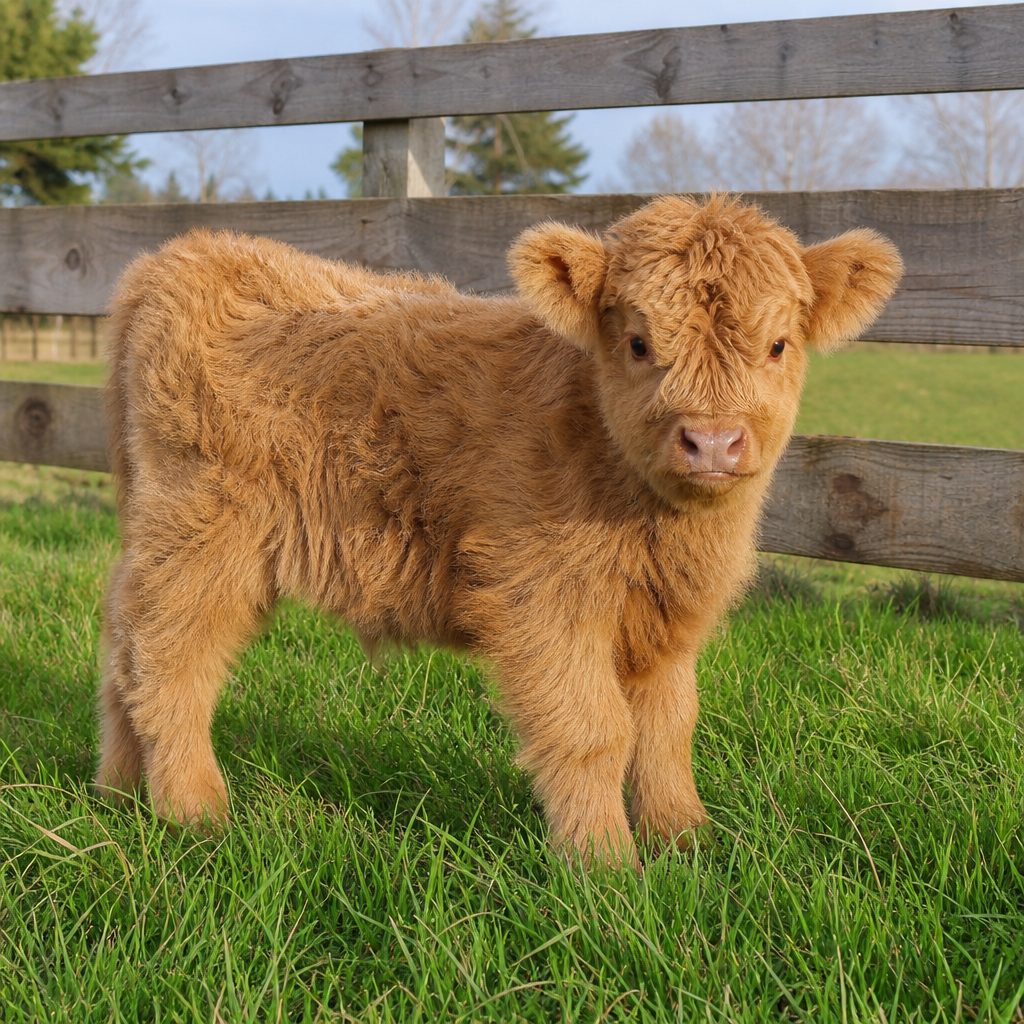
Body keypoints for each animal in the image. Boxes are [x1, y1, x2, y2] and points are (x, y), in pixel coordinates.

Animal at [95, 195, 902, 867]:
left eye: (779, 345)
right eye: (639, 343)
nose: (711, 441)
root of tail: (185, 253)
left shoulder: (667, 617)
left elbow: (669, 727)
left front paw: (686, 839)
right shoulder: (543, 598)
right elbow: (594, 731)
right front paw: (607, 866)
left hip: (159, 535)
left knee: (121, 650)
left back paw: (118, 792)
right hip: (204, 536)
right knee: (170, 662)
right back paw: (196, 812)